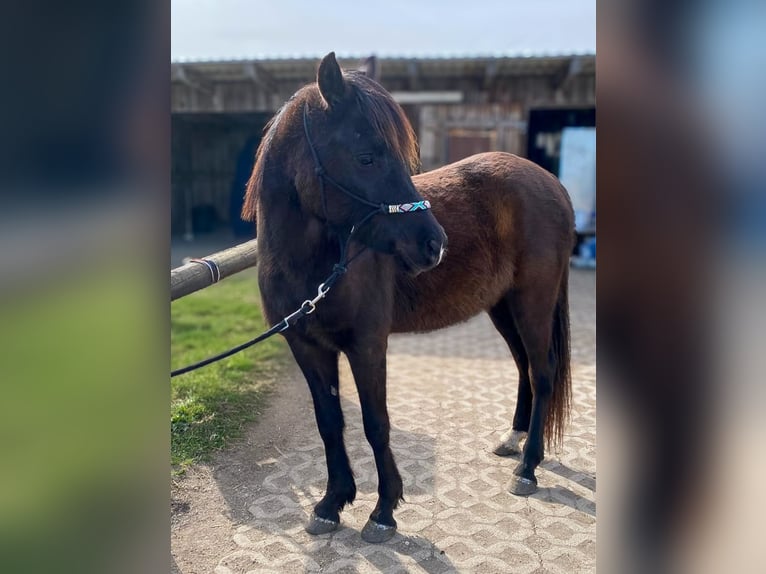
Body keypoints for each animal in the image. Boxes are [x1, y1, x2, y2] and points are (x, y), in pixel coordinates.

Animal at [242, 52, 574, 543]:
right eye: (366, 157)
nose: (434, 244)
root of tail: (552, 183)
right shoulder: (307, 347)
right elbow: (329, 423)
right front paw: (331, 503)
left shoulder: (366, 346)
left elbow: (375, 423)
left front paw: (383, 511)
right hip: (503, 307)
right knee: (523, 368)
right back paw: (512, 441)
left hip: (532, 302)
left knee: (543, 371)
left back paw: (528, 468)